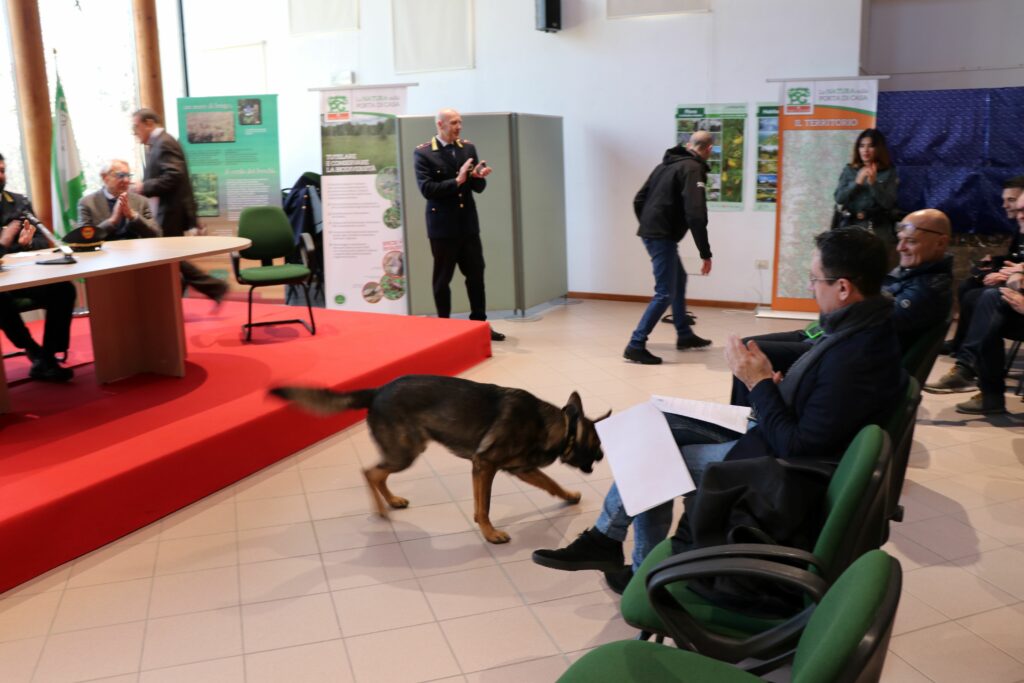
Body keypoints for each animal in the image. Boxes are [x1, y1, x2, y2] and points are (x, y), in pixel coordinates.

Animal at [272, 374, 606, 544]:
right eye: (597, 443)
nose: (604, 456)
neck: (556, 426)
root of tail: (377, 390)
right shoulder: (485, 465)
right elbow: (484, 506)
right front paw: (489, 533)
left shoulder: (519, 469)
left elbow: (551, 484)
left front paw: (569, 496)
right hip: (405, 453)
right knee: (370, 473)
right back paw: (381, 510)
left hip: (407, 451)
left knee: (377, 474)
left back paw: (392, 501)